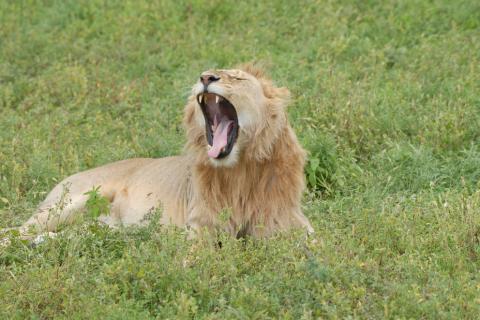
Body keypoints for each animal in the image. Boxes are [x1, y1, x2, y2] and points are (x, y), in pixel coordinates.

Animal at [3, 65, 316, 240]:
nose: (205, 77)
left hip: (101, 229)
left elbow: (316, 246)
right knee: (15, 232)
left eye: (238, 79)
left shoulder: (289, 218)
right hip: (73, 202)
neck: (241, 169)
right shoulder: (201, 226)